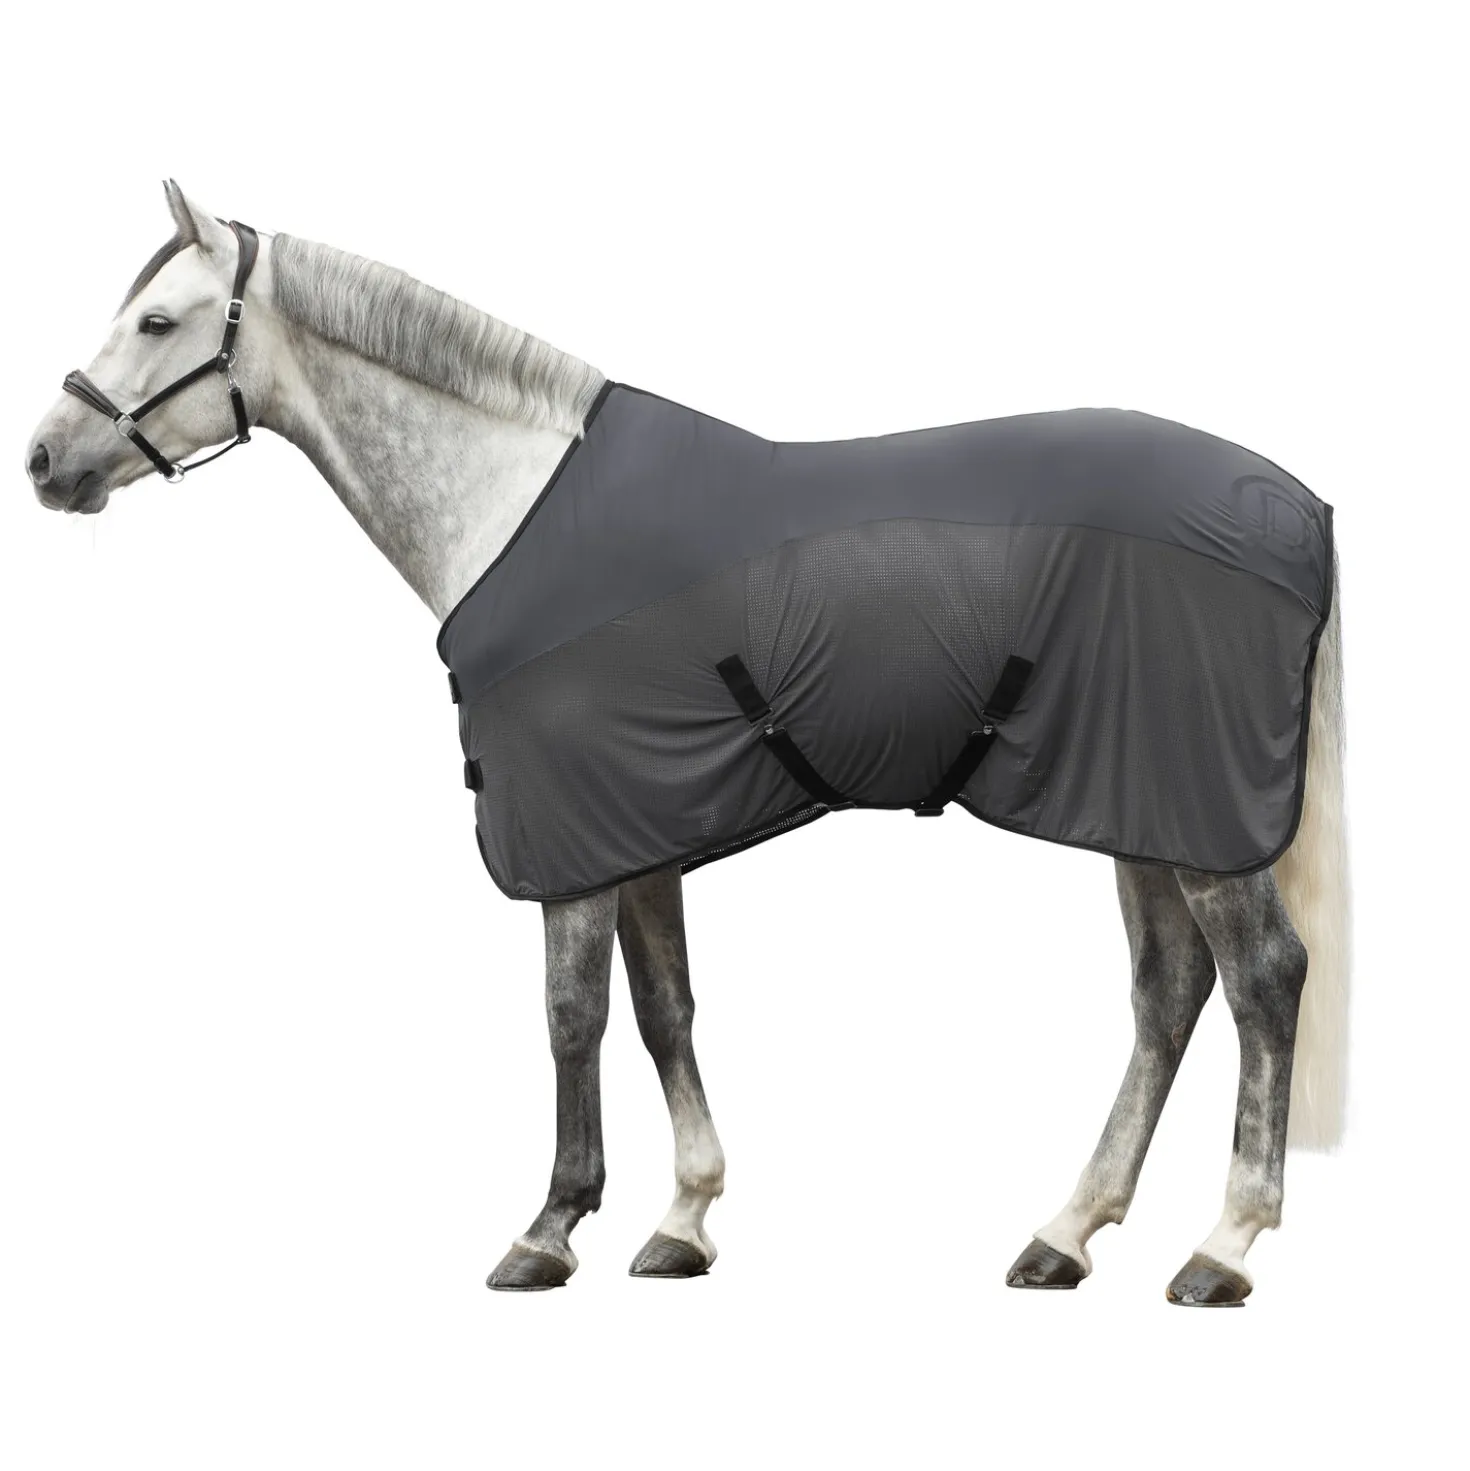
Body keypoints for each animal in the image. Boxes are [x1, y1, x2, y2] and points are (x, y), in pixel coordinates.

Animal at [24, 182, 1349, 1305]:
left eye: (155, 319)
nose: (44, 460)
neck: (516, 505)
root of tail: (1294, 504)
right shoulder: (639, 827)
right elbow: (666, 1009)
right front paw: (683, 1219)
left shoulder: (572, 839)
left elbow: (571, 1015)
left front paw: (549, 1229)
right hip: (1140, 805)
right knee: (1168, 994)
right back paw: (1066, 1233)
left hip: (1199, 815)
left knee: (1262, 980)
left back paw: (1223, 1245)